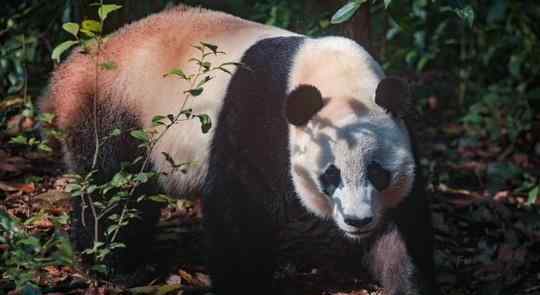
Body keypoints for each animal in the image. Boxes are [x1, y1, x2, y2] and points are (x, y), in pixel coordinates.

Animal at [41, 4, 438, 295]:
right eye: (331, 175)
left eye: (378, 173)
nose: (358, 221)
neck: (339, 82)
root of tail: (71, 67)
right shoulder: (258, 120)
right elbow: (238, 208)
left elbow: (404, 225)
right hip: (114, 111)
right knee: (113, 190)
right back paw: (119, 268)